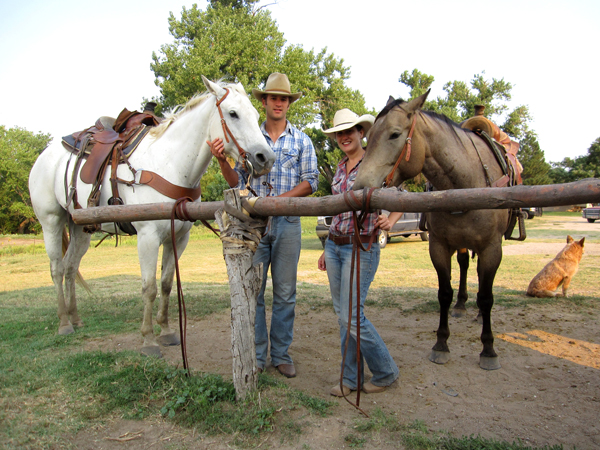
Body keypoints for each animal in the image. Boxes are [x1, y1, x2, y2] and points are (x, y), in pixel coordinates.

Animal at [29, 78, 276, 358]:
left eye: (256, 114)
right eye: (233, 114)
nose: (266, 158)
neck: (169, 164)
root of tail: (44, 156)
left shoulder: (178, 238)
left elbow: (167, 283)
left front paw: (167, 331)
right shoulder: (147, 238)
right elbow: (149, 288)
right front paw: (148, 339)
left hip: (80, 227)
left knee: (70, 267)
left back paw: (76, 318)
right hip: (51, 221)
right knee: (57, 269)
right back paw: (64, 323)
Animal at [352, 89, 520, 370]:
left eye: (394, 134)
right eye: (368, 135)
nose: (358, 187)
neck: (466, 184)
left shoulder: (491, 248)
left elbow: (487, 296)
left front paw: (488, 349)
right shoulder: (439, 246)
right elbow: (444, 293)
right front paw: (441, 344)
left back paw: (477, 313)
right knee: (464, 264)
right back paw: (461, 305)